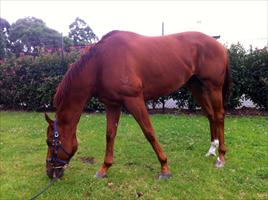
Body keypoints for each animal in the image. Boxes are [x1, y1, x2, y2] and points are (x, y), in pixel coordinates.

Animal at [44, 30, 230, 179]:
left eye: (50, 142)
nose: (50, 172)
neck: (101, 63)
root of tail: (219, 45)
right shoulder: (112, 104)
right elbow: (110, 135)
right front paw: (104, 168)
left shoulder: (134, 100)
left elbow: (149, 132)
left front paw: (164, 168)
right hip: (196, 86)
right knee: (210, 115)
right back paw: (212, 150)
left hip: (213, 87)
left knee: (219, 115)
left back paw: (221, 158)